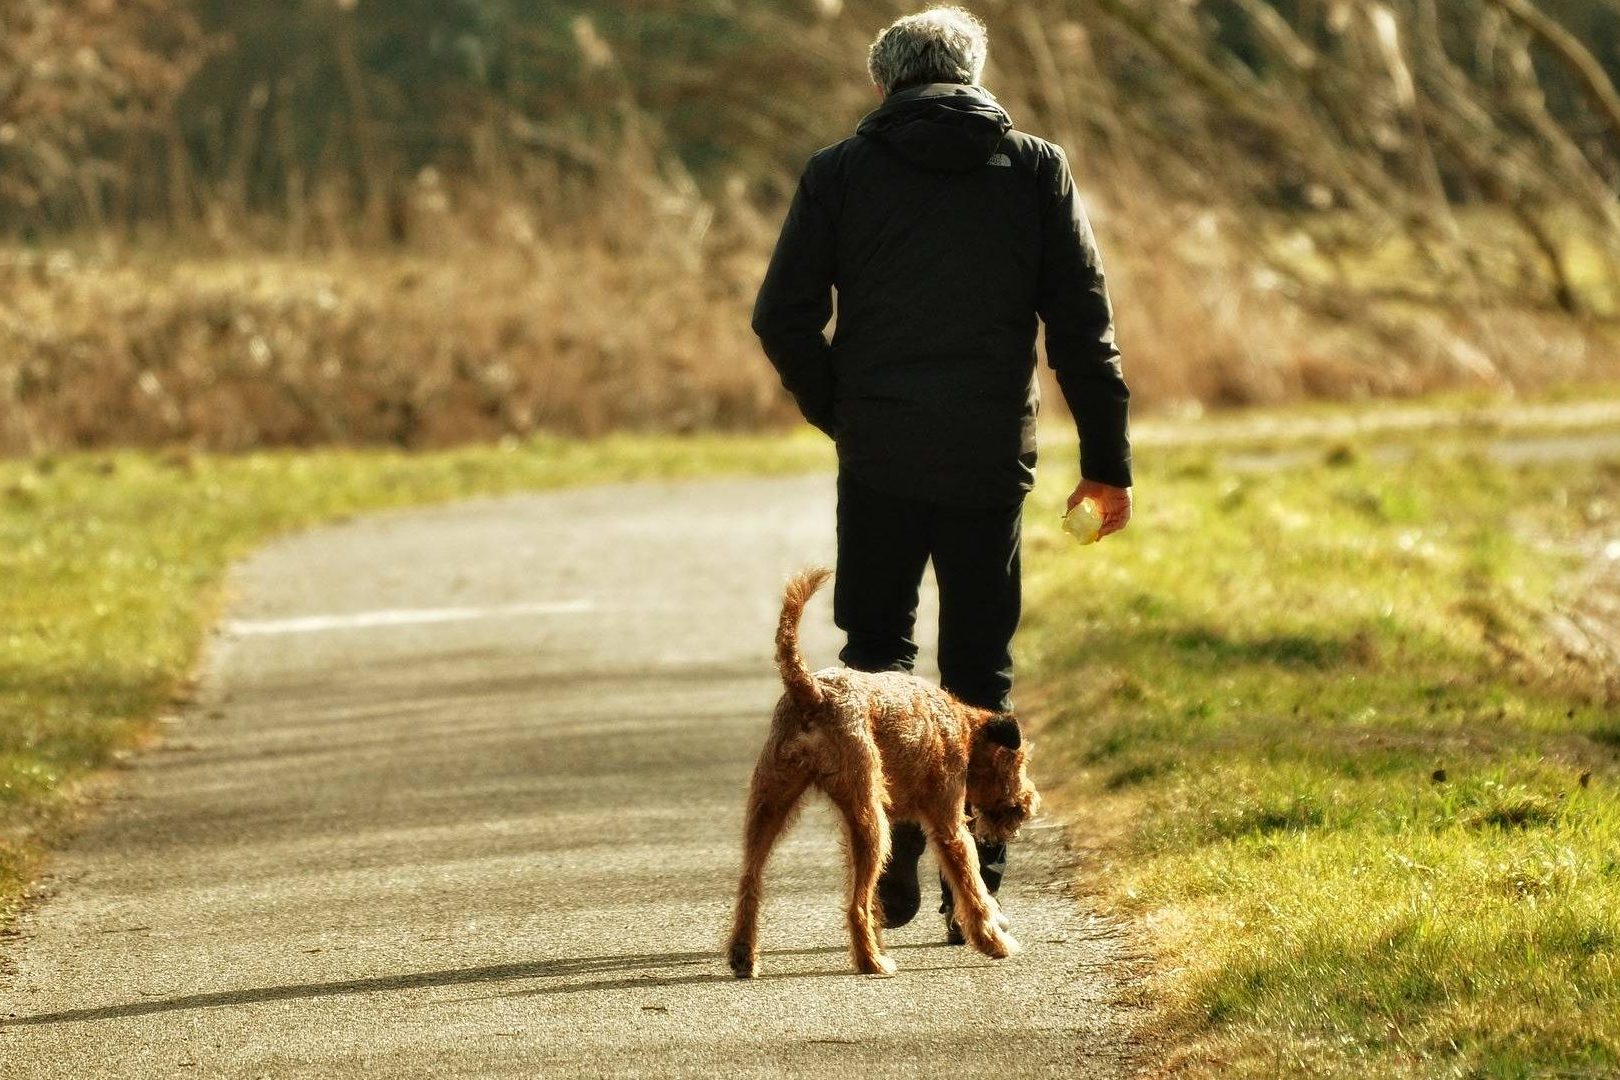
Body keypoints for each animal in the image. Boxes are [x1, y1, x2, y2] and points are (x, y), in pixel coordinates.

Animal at [726, 567, 1040, 978]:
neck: (960, 727)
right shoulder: (950, 827)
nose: (1030, 802)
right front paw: (994, 941)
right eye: (1020, 763)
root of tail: (812, 692)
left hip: (771, 803)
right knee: (855, 904)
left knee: (750, 881)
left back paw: (744, 955)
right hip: (870, 822)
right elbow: (972, 887)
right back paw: (872, 961)